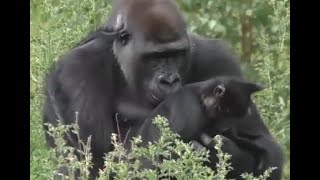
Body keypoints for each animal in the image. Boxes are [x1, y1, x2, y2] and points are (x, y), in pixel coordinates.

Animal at [42, 0, 282, 179]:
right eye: (155, 58)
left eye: (175, 55)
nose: (169, 80)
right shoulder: (77, 68)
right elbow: (94, 162)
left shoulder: (219, 57)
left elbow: (268, 150)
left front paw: (226, 150)